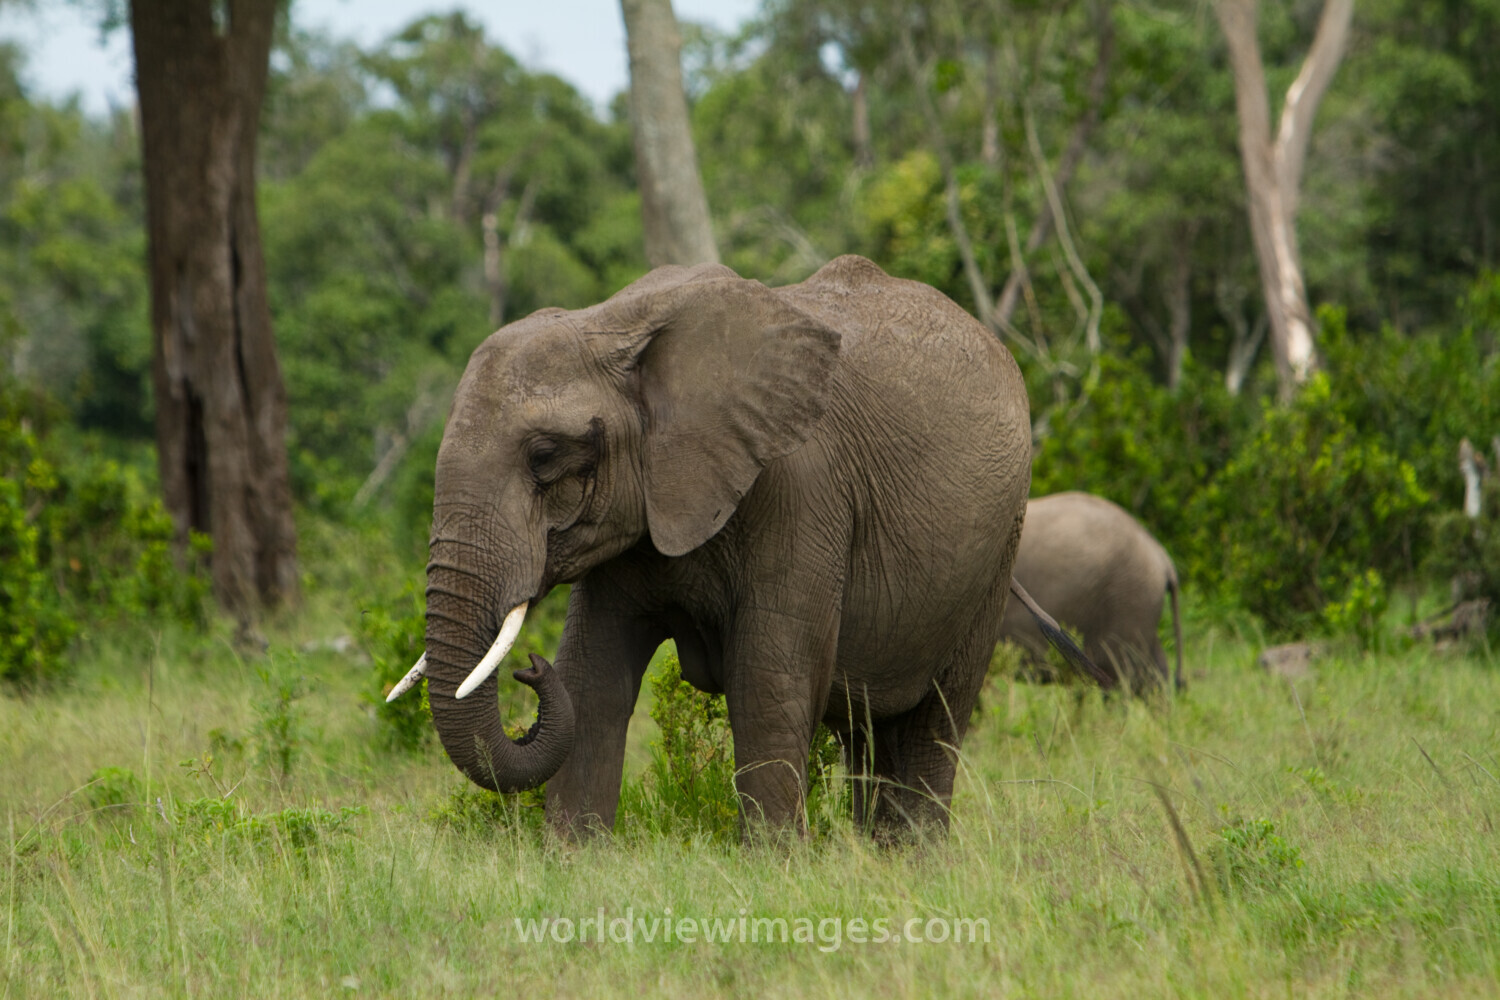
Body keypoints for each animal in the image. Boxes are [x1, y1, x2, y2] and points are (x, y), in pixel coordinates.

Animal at [389, 254, 1103, 838]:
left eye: (544, 457)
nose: (529, 669)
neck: (614, 322)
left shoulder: (801, 490)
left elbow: (766, 680)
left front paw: (772, 868)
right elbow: (594, 678)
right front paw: (572, 860)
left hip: (998, 546)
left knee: (936, 718)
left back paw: (912, 862)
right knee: (869, 727)